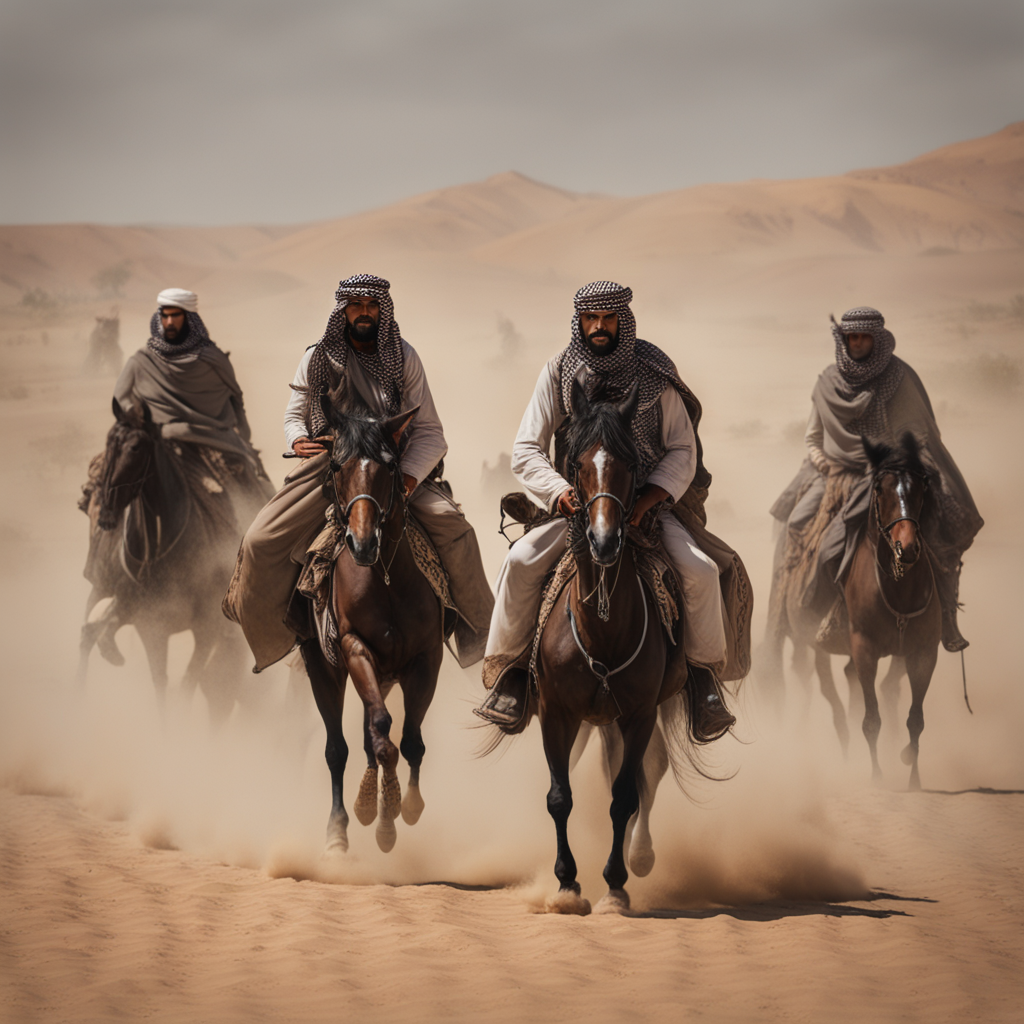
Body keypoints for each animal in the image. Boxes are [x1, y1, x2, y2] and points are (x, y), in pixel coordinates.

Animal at [78, 395, 246, 724]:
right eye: (109, 442)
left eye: (135, 448)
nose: (107, 510)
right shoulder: (151, 626)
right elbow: (164, 686)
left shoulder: (206, 629)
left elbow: (185, 686)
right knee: (87, 632)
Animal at [296, 387, 440, 851]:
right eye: (335, 465)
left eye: (390, 465)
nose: (362, 542)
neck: (387, 579)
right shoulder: (354, 648)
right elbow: (382, 734)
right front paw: (383, 816)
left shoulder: (427, 658)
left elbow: (409, 741)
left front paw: (404, 809)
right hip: (324, 670)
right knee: (338, 748)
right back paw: (341, 828)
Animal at [843, 432, 937, 790]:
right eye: (880, 489)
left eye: (921, 486)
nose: (906, 547)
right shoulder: (864, 649)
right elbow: (871, 720)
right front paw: (877, 777)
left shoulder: (923, 654)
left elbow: (916, 720)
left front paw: (913, 776)